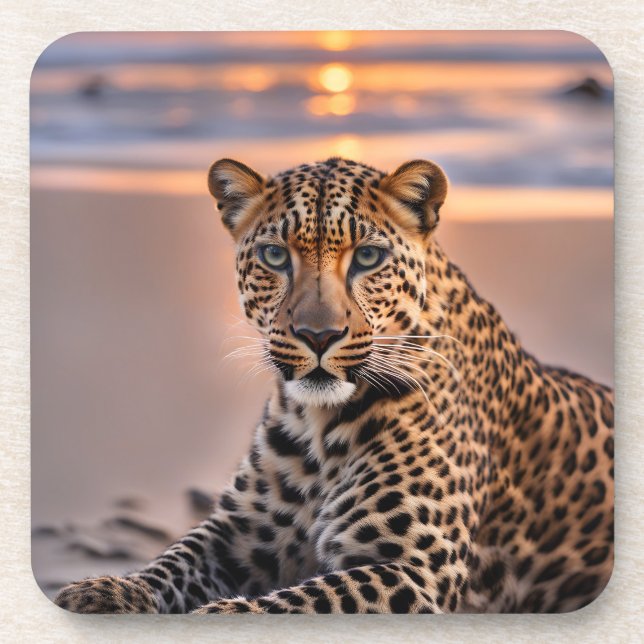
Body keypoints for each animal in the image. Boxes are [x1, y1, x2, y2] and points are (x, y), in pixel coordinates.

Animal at [54, 156, 614, 614]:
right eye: (275, 257)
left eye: (367, 258)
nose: (318, 335)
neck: (318, 427)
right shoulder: (235, 535)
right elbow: (172, 560)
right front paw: (103, 592)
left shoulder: (414, 570)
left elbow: (287, 605)